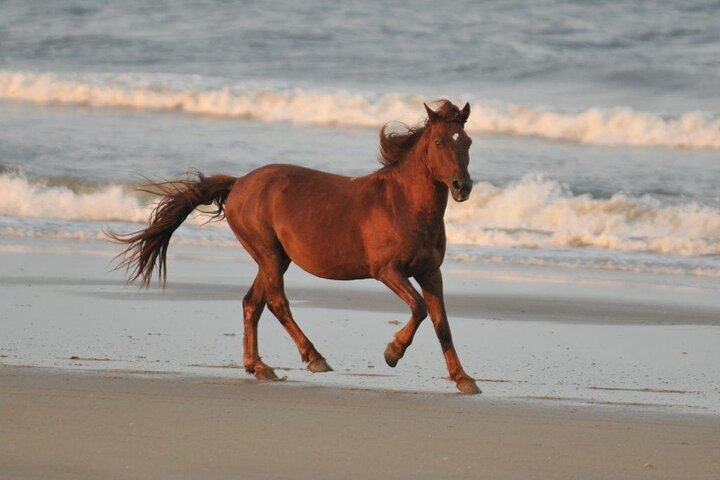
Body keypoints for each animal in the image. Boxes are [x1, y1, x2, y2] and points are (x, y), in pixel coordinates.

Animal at [109, 100, 480, 394]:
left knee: (252, 303)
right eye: (438, 141)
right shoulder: (387, 271)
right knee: (277, 303)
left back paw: (260, 367)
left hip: (274, 258)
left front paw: (464, 379)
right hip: (270, 255)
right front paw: (392, 353)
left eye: (467, 142)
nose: (462, 187)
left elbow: (441, 323)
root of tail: (239, 184)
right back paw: (315, 358)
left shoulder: (430, 272)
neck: (403, 204)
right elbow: (419, 308)